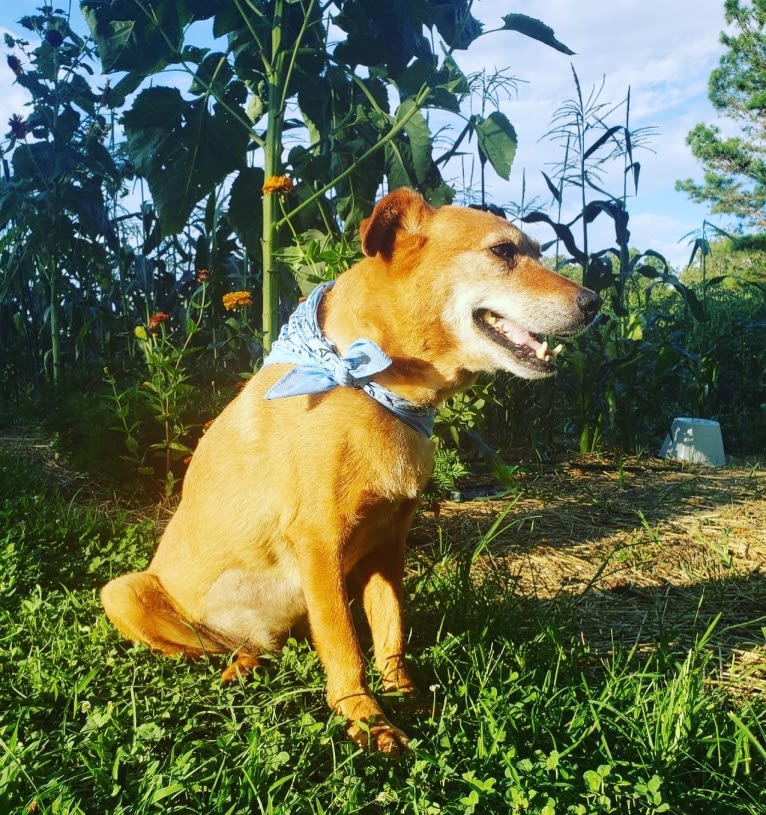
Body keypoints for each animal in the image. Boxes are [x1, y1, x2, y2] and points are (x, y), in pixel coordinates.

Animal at [102, 188, 604, 756]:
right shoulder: (320, 541)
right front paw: (364, 718)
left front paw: (405, 694)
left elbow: (390, 630)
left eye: (539, 251)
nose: (595, 303)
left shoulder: (388, 544)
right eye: (502, 251)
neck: (371, 387)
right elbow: (345, 643)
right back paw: (238, 665)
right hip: (122, 593)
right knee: (211, 648)